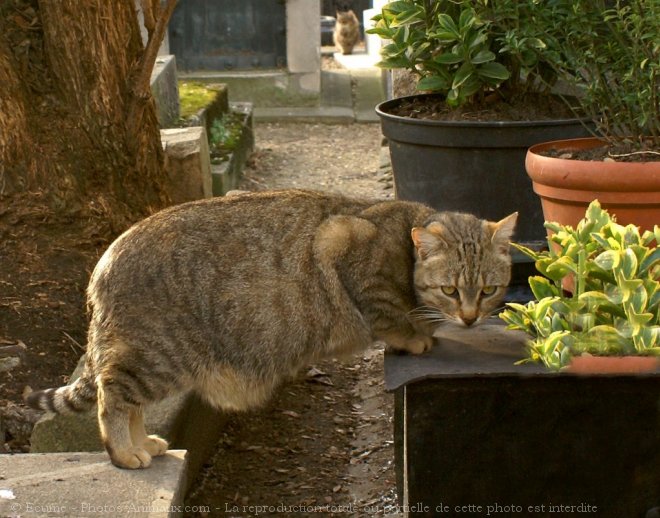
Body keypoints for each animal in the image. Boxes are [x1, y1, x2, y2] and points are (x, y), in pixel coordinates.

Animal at [27, 191, 516, 472]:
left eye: (489, 290)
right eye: (450, 290)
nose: (470, 318)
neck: (405, 241)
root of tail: (104, 262)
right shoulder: (342, 246)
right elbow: (388, 317)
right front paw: (415, 335)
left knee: (129, 403)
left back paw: (143, 440)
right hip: (155, 356)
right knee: (112, 397)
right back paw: (124, 452)